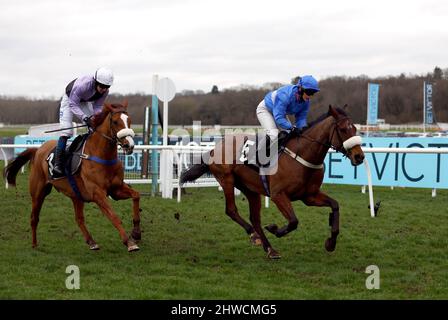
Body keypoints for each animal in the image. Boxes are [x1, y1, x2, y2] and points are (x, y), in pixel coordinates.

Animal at [2, 102, 141, 252]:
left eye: (129, 120)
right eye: (115, 121)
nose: (129, 145)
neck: (101, 156)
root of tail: (38, 149)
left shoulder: (116, 189)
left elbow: (136, 195)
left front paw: (136, 233)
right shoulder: (98, 193)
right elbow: (114, 216)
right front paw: (129, 242)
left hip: (76, 195)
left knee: (79, 219)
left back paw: (91, 242)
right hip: (38, 192)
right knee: (34, 217)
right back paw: (34, 244)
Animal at [180, 106, 366, 258]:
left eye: (355, 129)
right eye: (342, 129)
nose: (359, 156)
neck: (302, 155)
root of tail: (214, 149)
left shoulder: (310, 196)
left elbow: (335, 205)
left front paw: (331, 243)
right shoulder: (278, 195)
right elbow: (293, 221)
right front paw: (275, 229)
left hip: (250, 189)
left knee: (255, 218)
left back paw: (269, 249)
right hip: (227, 179)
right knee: (231, 210)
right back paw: (254, 235)